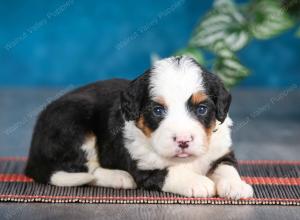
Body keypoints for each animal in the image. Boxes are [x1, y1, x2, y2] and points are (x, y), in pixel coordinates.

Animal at [25, 55, 253, 199]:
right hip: (75, 125)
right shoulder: (143, 166)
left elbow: (227, 168)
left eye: (202, 109)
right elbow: (171, 172)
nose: (183, 141)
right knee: (85, 169)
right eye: (158, 110)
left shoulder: (221, 151)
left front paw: (236, 186)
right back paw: (119, 177)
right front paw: (198, 183)